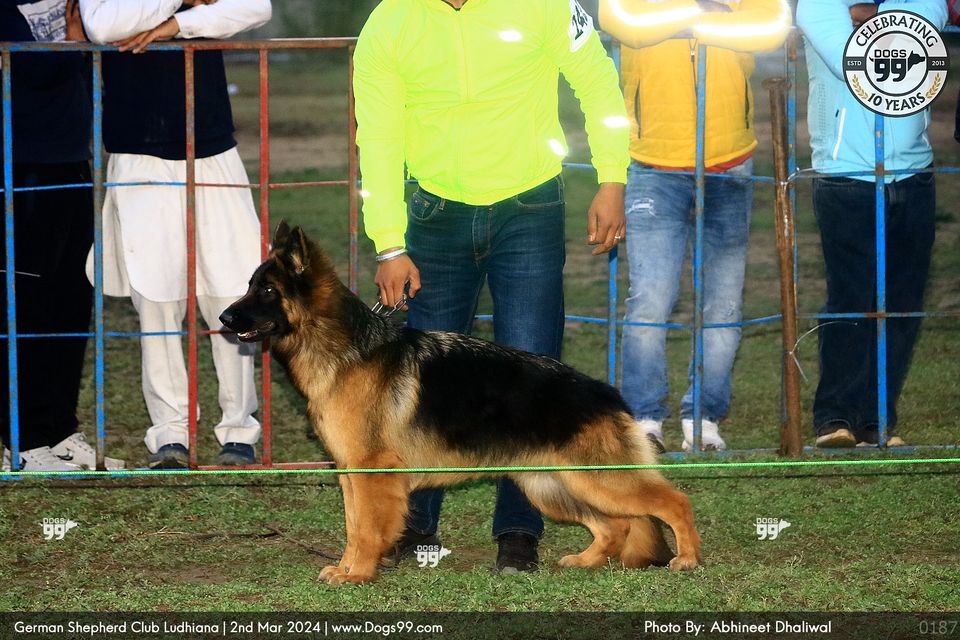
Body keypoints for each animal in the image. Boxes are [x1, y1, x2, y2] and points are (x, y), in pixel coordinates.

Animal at [219, 221, 702, 585]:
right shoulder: (351, 474)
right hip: (557, 484)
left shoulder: (372, 473)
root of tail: (608, 393)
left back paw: (687, 559)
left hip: (596, 480)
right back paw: (586, 561)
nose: (223, 318)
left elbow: (367, 530)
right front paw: (347, 568)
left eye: (267, 291)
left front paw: (357, 574)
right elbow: (355, 527)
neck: (345, 349)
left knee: (673, 501)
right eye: (249, 286)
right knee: (617, 524)